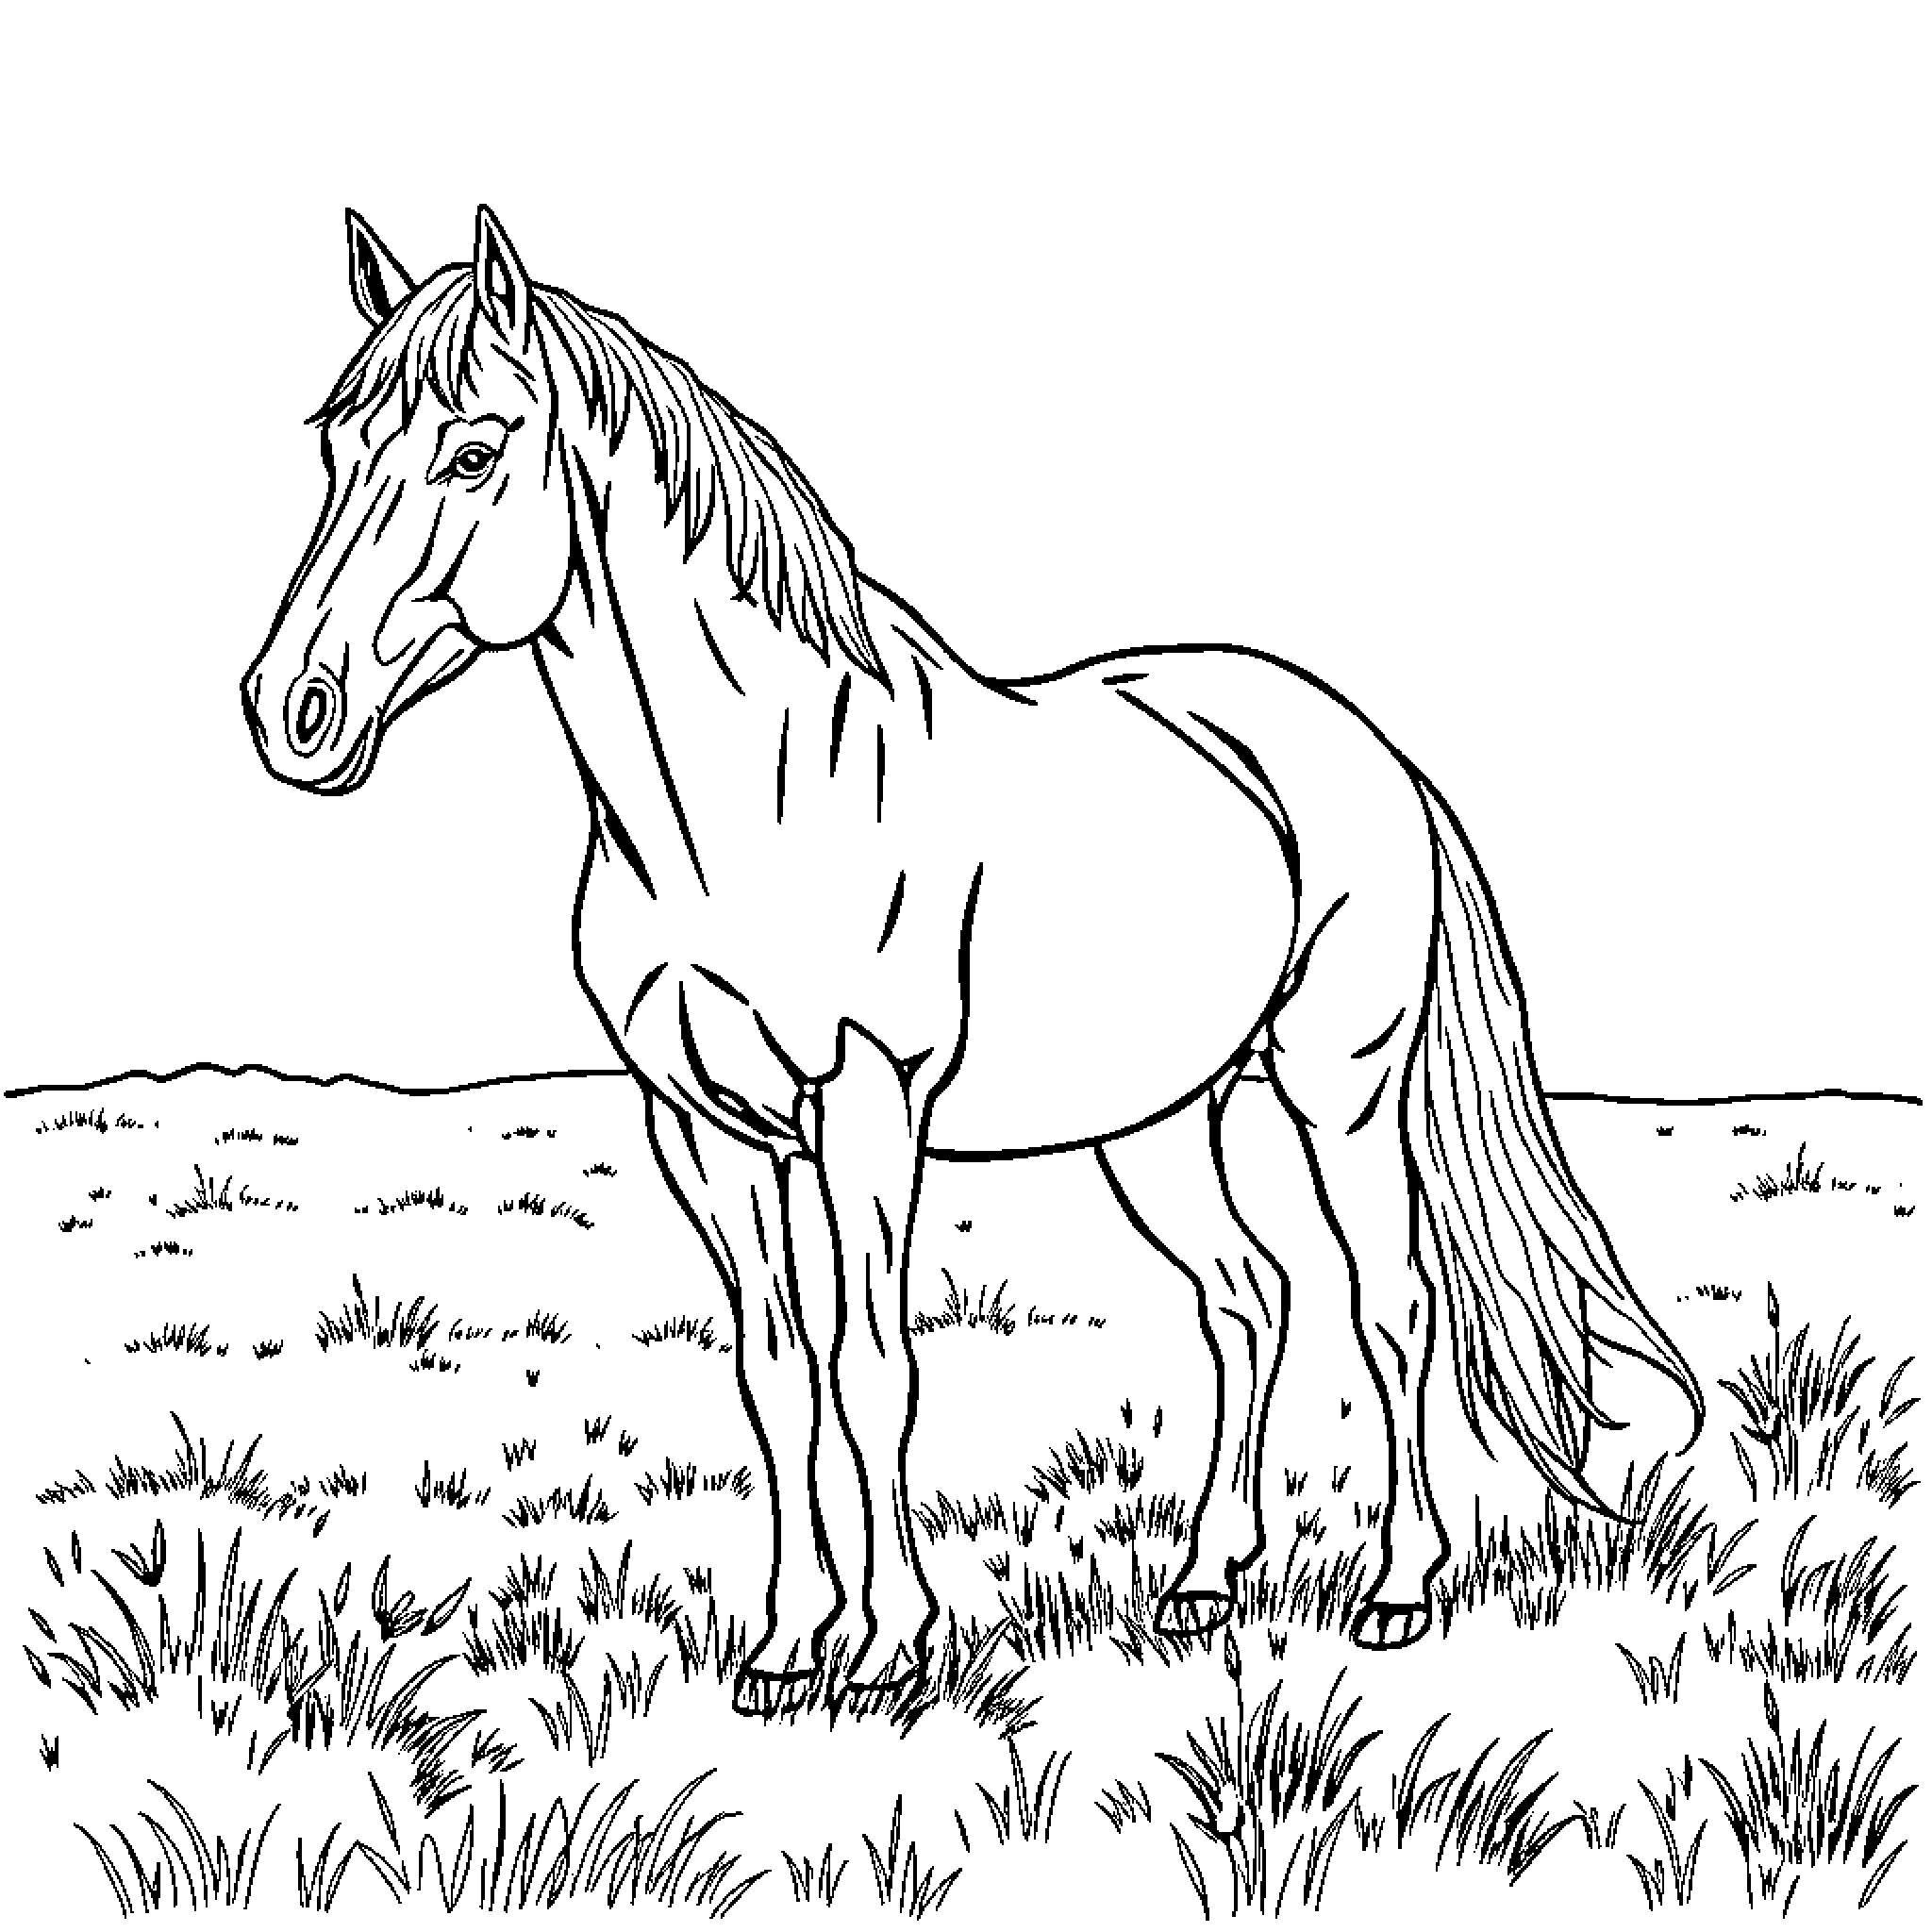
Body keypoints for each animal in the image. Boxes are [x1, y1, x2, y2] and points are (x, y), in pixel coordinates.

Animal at [241, 206, 1702, 1713]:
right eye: (333, 449)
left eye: (473, 451)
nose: (291, 710)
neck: (746, 800)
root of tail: (1369, 749)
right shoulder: (701, 1130)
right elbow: (778, 1372)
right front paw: (782, 1644)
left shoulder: (866, 1101)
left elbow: (874, 1364)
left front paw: (891, 1645)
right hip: (1160, 1120)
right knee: (1246, 1300)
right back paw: (1201, 1579)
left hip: (1335, 1086)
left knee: (1391, 1306)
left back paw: (1400, 1589)